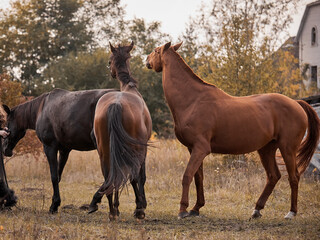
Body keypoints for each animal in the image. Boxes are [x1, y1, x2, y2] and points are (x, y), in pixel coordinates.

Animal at [88, 42, 152, 220]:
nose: (110, 72)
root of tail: (115, 105)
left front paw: (116, 206)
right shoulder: (142, 151)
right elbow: (140, 177)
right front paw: (140, 205)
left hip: (105, 152)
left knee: (110, 175)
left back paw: (112, 211)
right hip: (134, 150)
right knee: (132, 176)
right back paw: (137, 210)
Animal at [147, 41, 320, 219]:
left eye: (155, 51)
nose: (147, 60)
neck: (193, 101)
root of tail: (296, 103)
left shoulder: (201, 148)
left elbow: (187, 176)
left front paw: (183, 210)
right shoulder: (192, 149)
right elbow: (198, 178)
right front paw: (196, 208)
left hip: (287, 149)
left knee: (294, 177)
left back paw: (291, 212)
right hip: (266, 149)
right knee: (273, 176)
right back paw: (257, 210)